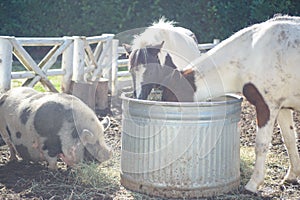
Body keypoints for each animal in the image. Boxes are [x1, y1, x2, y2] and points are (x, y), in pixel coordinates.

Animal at [127, 16, 300, 194]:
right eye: (130, 70)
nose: (139, 97)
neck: (251, 55)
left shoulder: (267, 106)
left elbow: (261, 145)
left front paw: (253, 184)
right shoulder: (282, 108)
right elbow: (289, 140)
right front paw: (292, 176)